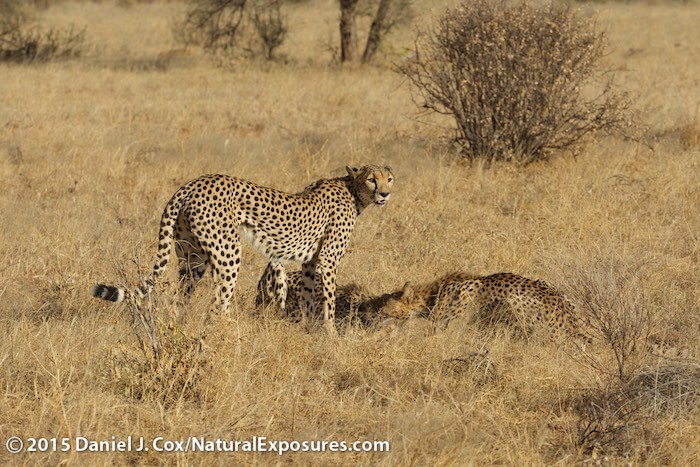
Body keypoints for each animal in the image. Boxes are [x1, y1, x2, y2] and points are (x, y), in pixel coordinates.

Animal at [91, 165, 394, 334]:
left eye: (388, 178)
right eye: (372, 178)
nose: (385, 193)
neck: (353, 190)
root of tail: (191, 185)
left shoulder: (310, 263)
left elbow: (309, 298)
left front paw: (308, 330)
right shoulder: (328, 261)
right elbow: (329, 302)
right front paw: (330, 336)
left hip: (192, 258)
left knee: (180, 299)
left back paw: (182, 326)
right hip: (228, 252)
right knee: (218, 304)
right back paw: (235, 333)